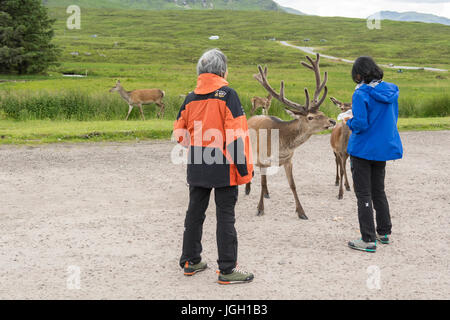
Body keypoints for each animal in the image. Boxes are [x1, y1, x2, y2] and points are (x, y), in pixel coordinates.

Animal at [246, 54, 338, 220]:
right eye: (310, 117)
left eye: (321, 112)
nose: (332, 121)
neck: (281, 146)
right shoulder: (262, 159)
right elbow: (261, 183)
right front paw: (260, 209)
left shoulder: (289, 160)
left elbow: (293, 185)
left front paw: (302, 212)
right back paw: (247, 189)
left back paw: (267, 193)